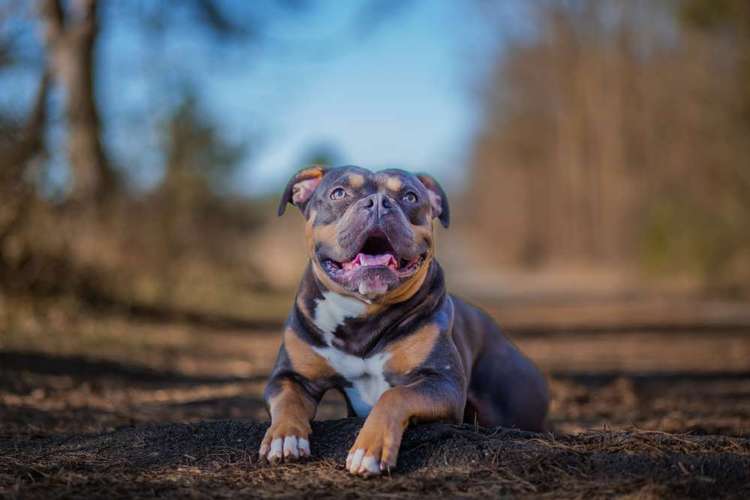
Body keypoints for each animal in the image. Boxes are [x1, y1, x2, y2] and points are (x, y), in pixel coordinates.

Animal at [262, 165, 548, 476]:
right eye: (339, 193)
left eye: (410, 196)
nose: (378, 202)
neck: (362, 318)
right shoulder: (290, 376)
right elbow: (288, 401)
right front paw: (284, 437)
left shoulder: (442, 382)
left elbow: (395, 396)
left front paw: (369, 450)